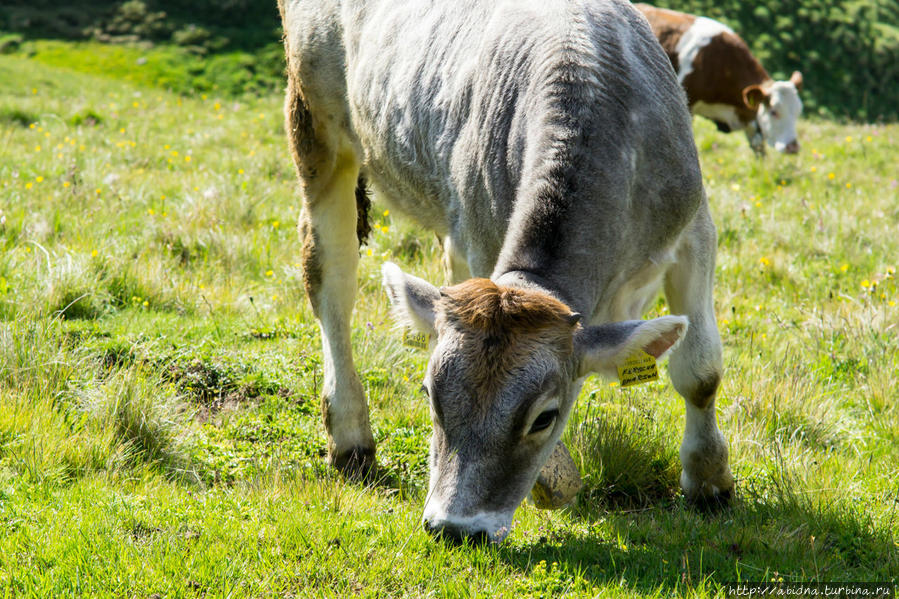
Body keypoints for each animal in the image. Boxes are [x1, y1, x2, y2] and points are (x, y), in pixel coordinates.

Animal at [280, 0, 732, 544]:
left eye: (544, 418)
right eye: (430, 394)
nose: (455, 528)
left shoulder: (694, 228)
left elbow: (700, 370)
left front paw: (710, 480)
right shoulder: (480, 243)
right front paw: (554, 482)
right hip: (314, 120)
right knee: (331, 276)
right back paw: (350, 437)